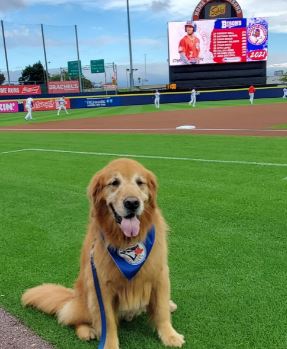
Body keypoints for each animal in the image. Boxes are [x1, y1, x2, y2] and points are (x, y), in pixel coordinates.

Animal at [21, 158, 186, 348]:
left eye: (140, 182)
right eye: (114, 183)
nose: (132, 203)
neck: (126, 242)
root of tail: (73, 295)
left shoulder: (159, 274)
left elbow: (161, 310)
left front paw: (170, 335)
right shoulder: (101, 285)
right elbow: (108, 322)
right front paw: (109, 344)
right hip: (85, 298)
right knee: (69, 317)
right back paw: (86, 331)